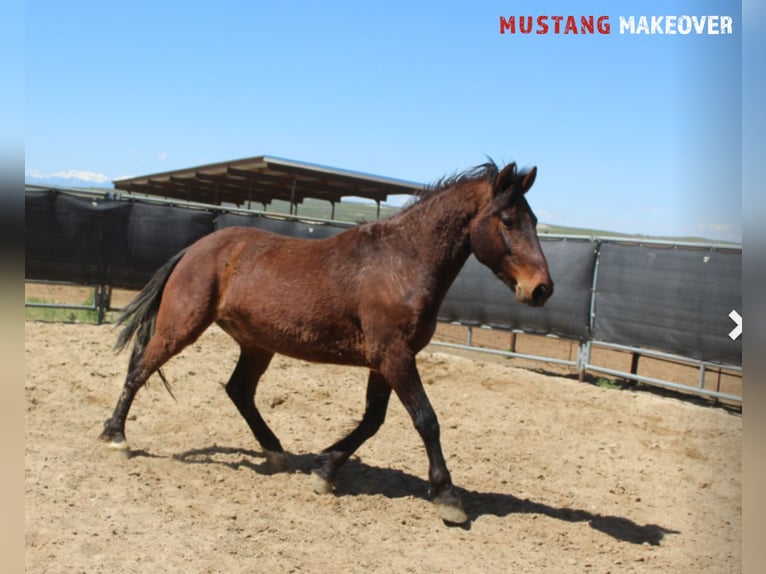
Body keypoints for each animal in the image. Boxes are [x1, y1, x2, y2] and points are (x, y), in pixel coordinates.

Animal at [100, 161, 552, 528]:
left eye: (533, 219)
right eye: (508, 219)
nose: (541, 289)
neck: (402, 264)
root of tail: (195, 249)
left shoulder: (384, 362)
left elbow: (372, 420)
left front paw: (324, 469)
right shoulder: (395, 357)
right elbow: (426, 420)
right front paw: (449, 499)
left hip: (257, 343)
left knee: (239, 390)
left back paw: (276, 453)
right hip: (183, 325)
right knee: (139, 368)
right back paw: (116, 438)